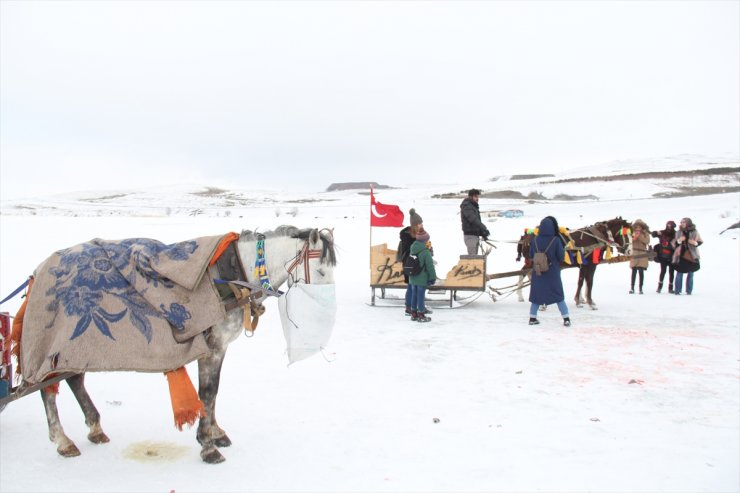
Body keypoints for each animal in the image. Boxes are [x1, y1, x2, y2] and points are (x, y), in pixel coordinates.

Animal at [25, 225, 338, 464]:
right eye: (322, 272)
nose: (329, 308)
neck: (233, 275)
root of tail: (39, 269)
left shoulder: (220, 348)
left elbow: (213, 392)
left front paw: (215, 433)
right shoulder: (211, 347)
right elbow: (207, 394)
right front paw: (207, 445)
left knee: (74, 380)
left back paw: (94, 428)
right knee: (47, 390)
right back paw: (63, 440)